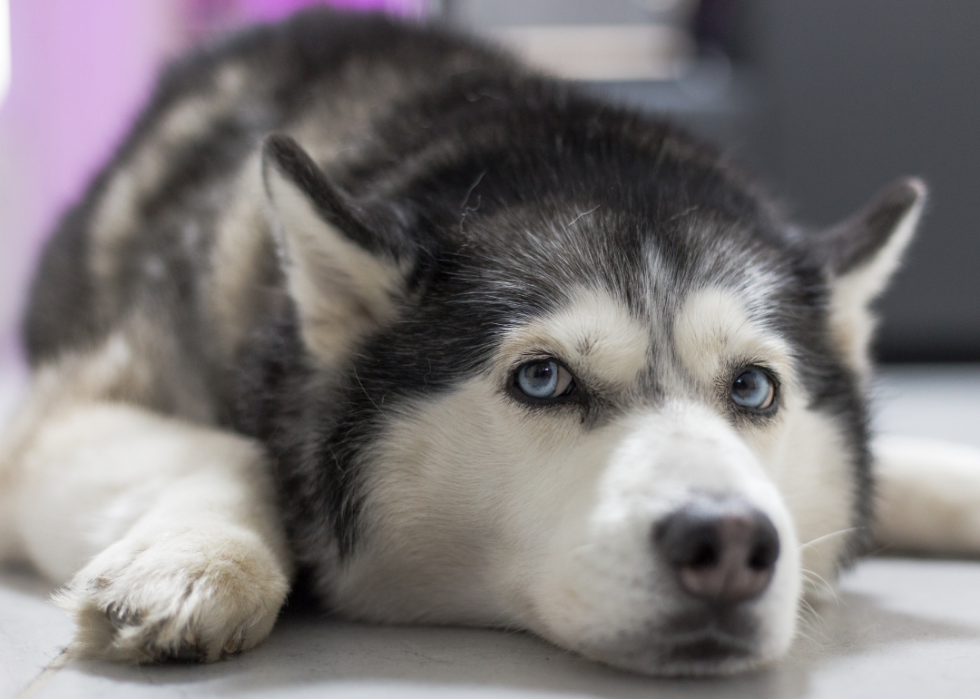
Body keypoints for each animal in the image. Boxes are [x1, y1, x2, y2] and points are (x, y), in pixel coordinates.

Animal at [1, 8, 980, 680]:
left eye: (752, 389)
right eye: (542, 378)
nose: (731, 541)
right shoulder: (57, 417)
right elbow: (237, 452)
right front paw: (195, 558)